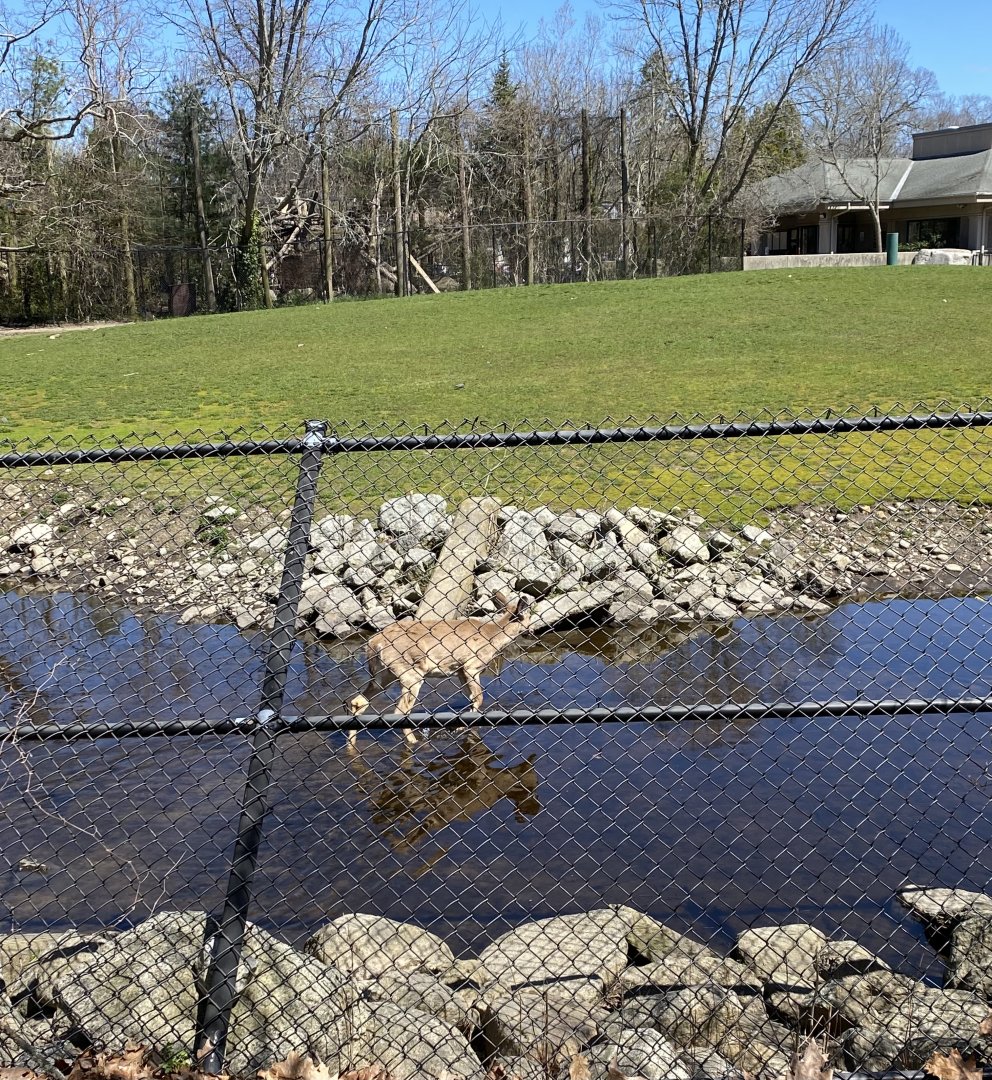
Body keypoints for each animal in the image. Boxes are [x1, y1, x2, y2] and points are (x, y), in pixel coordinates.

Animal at [349, 592, 533, 722]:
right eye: (530, 617)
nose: (531, 631)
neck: (492, 636)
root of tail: (374, 643)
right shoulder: (471, 665)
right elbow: (479, 698)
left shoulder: (460, 670)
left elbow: (472, 699)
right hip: (410, 671)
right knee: (400, 711)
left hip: (383, 674)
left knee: (358, 702)